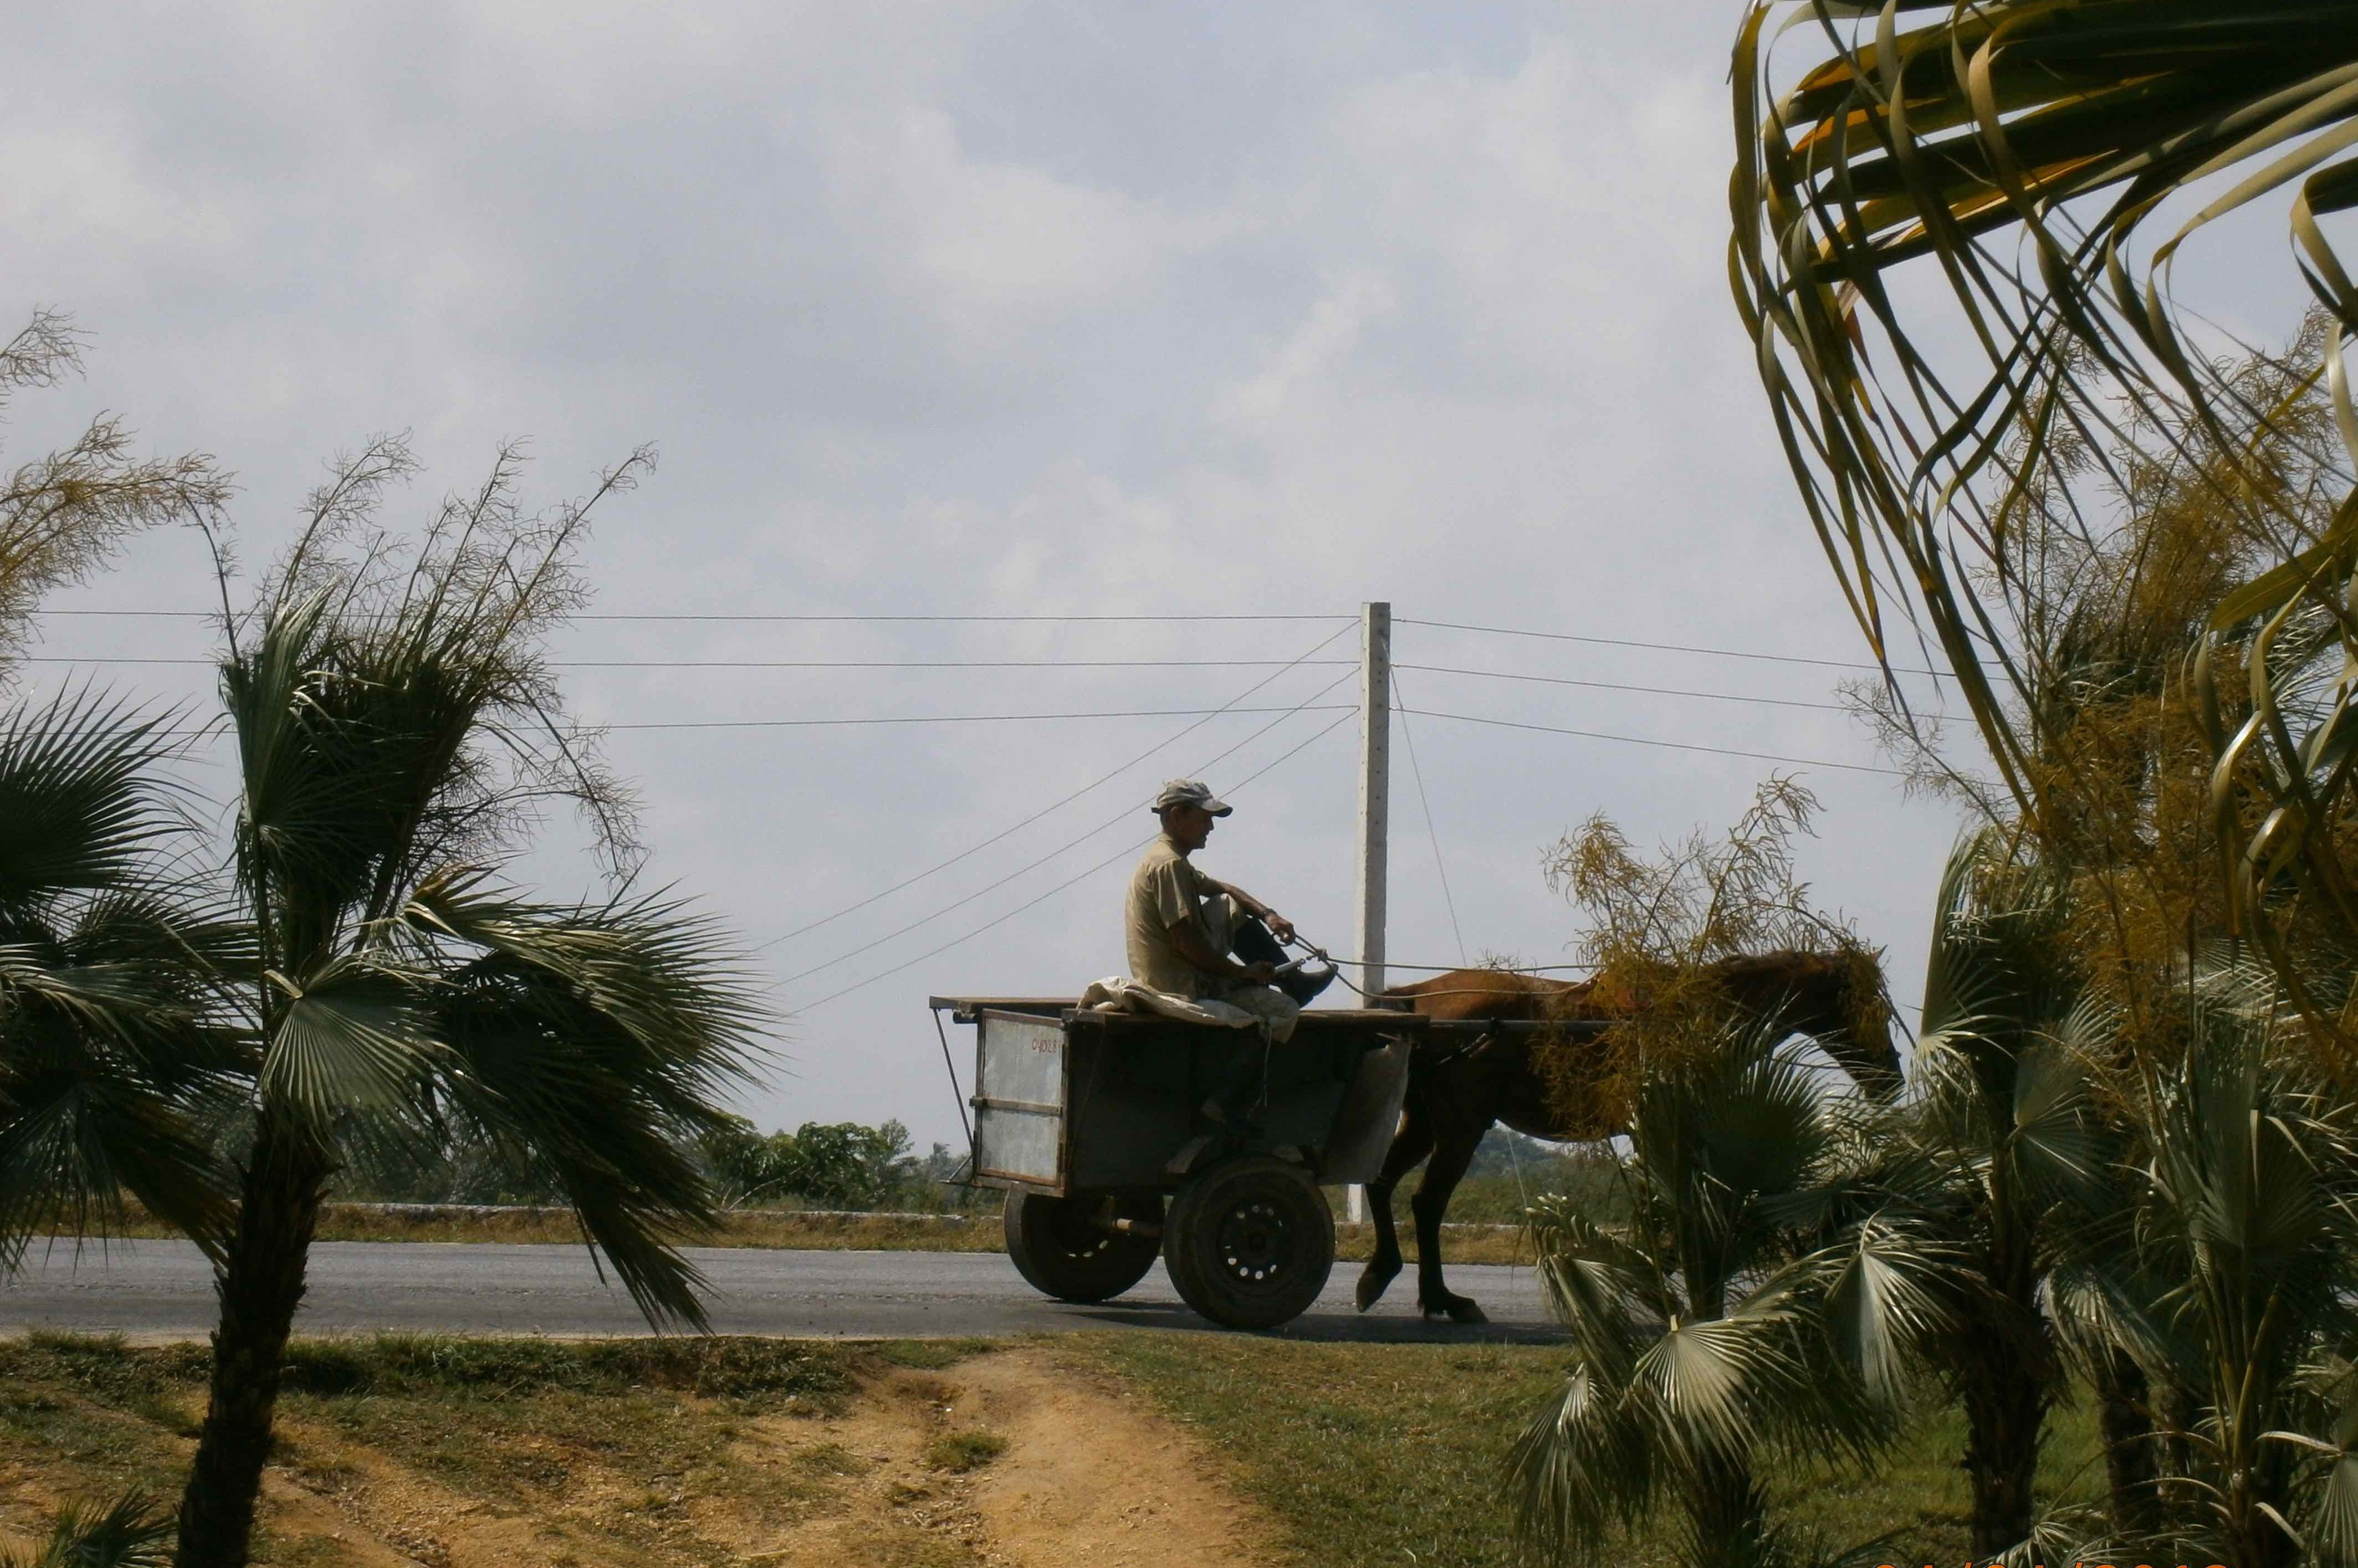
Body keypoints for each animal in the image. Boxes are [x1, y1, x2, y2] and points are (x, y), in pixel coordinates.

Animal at [1358, 943, 1905, 1320]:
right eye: (1867, 1007)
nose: (1892, 1080)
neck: (1700, 1014)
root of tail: (1417, 999)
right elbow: (1668, 1199)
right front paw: (1659, 1261)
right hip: (1460, 1129)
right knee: (1427, 1204)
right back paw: (1441, 1298)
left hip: (1425, 1125)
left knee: (1382, 1184)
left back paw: (1382, 1274)